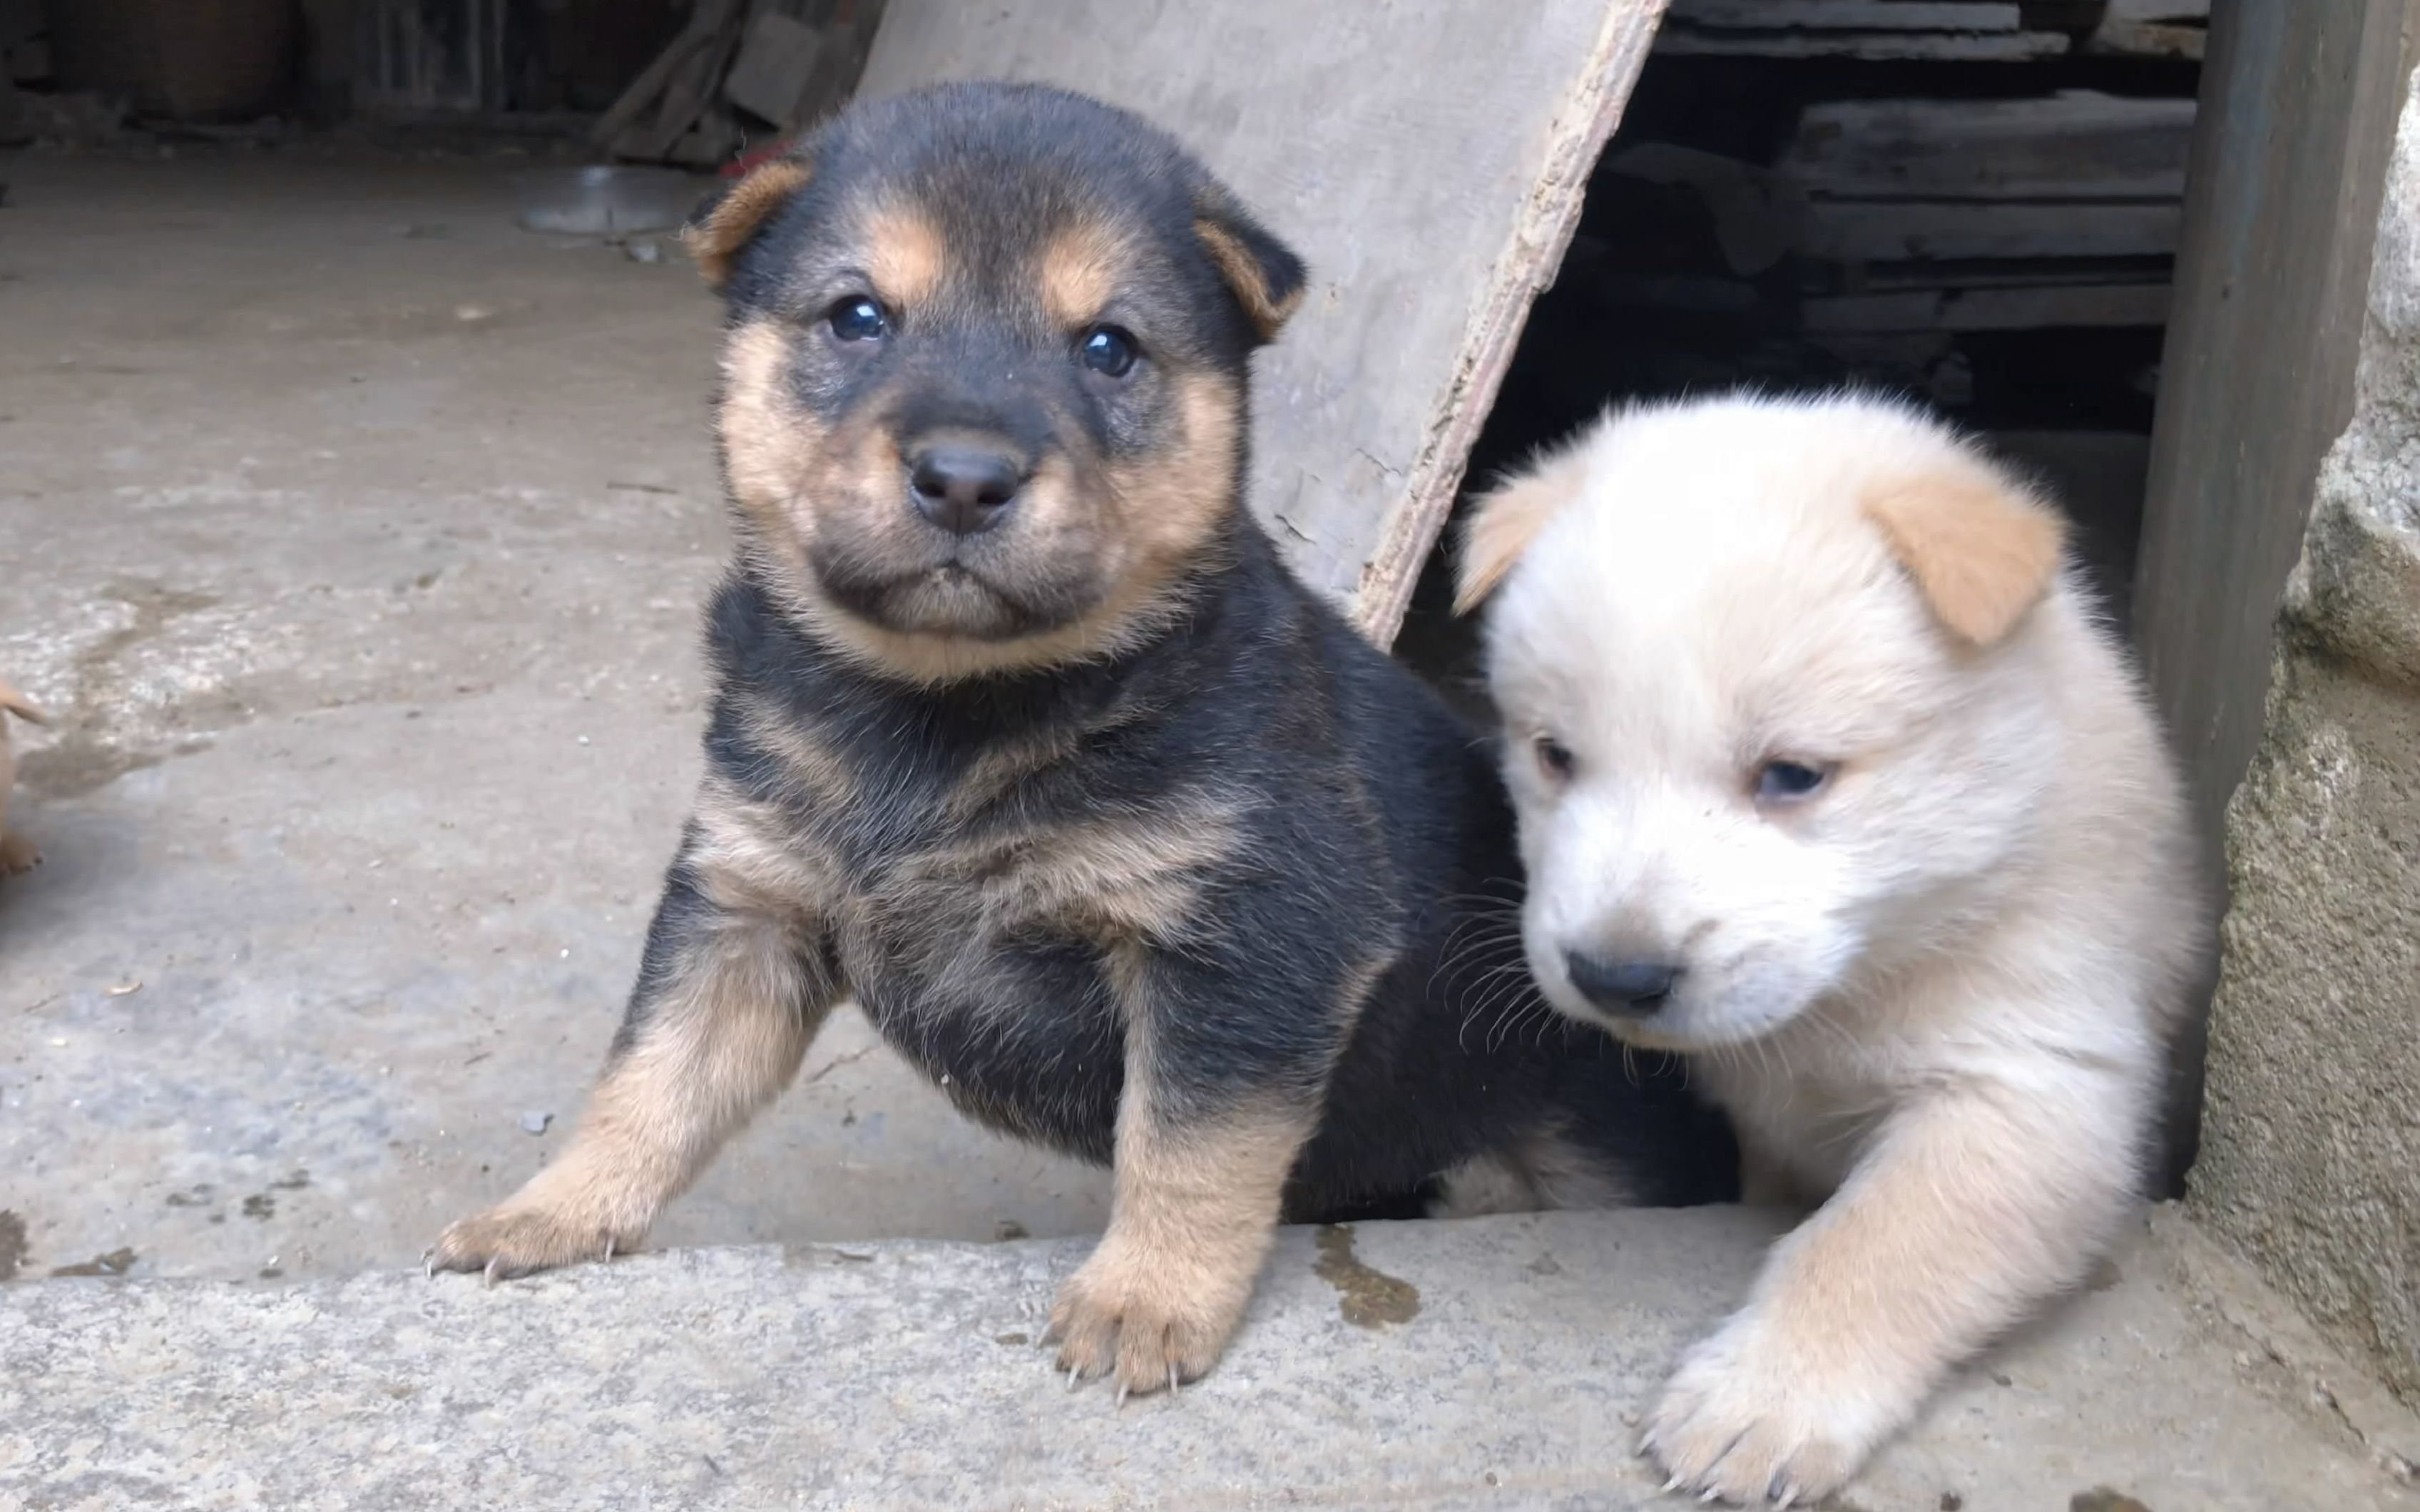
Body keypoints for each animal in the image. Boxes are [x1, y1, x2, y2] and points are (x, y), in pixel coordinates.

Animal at [426, 85, 1732, 1393]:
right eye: (857, 318)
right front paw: (550, 1210)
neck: (948, 710)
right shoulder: (747, 903)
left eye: (1108, 347)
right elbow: (651, 1075)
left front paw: (1144, 1302)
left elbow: (1189, 1144)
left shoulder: (1251, 937)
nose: (964, 477)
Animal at [1451, 394, 2216, 1500]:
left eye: (1793, 775)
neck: (1849, 993)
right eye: (1554, 755)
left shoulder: (2034, 1078)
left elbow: (1879, 1238)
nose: (1615, 977)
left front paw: (1761, 1398)